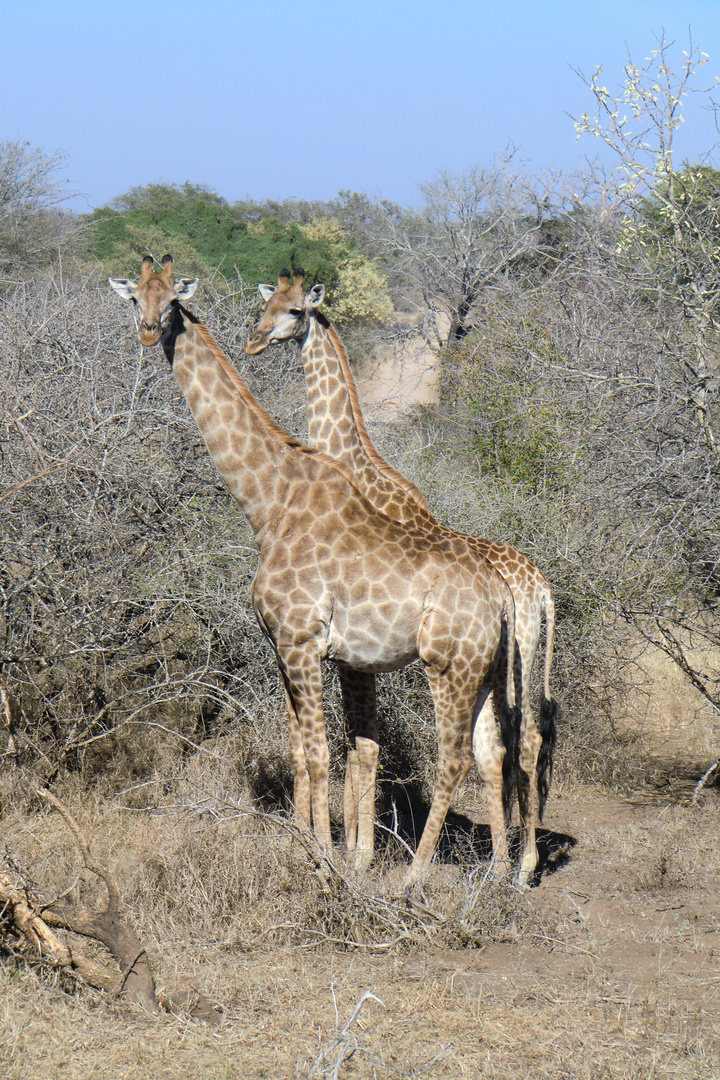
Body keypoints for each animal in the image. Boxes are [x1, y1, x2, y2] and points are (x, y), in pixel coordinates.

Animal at [110, 254, 520, 885]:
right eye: (135, 298)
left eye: (173, 300)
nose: (150, 332)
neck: (269, 502)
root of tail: (502, 596)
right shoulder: (281, 644)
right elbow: (302, 747)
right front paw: (306, 841)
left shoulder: (303, 641)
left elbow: (325, 750)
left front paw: (328, 859)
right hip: (483, 669)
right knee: (488, 749)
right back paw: (499, 875)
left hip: (446, 665)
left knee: (451, 756)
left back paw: (413, 878)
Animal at [245, 270, 561, 885]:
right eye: (265, 305)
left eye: (293, 311)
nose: (255, 340)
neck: (355, 458)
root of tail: (540, 590)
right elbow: (360, 744)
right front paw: (352, 847)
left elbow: (357, 746)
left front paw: (353, 850)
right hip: (513, 661)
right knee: (521, 739)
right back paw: (515, 861)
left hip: (500, 660)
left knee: (512, 740)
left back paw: (515, 862)